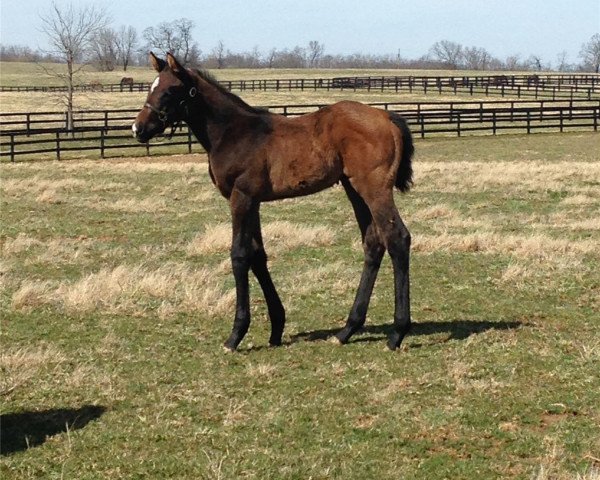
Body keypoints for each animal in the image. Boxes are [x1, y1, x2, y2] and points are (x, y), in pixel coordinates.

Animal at [134, 53, 414, 352]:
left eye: (170, 90)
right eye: (151, 87)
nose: (138, 128)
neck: (234, 133)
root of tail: (386, 116)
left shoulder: (241, 197)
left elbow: (239, 255)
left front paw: (235, 335)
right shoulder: (254, 201)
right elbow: (258, 255)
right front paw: (276, 328)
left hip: (374, 189)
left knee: (397, 238)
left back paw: (397, 332)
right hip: (354, 189)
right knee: (373, 242)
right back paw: (347, 330)